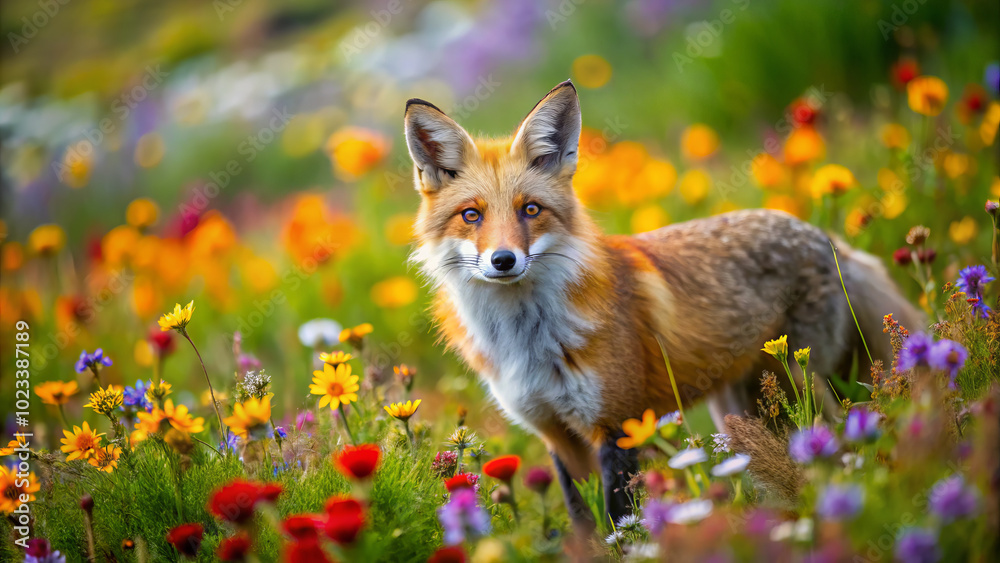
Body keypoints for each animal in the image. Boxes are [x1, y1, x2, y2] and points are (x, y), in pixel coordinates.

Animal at [403, 80, 923, 534]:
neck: (527, 342)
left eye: (530, 210)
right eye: (472, 215)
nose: (504, 260)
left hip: (802, 388)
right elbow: (585, 526)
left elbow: (619, 521)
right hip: (744, 412)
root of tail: (828, 238)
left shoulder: (617, 424)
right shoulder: (556, 435)